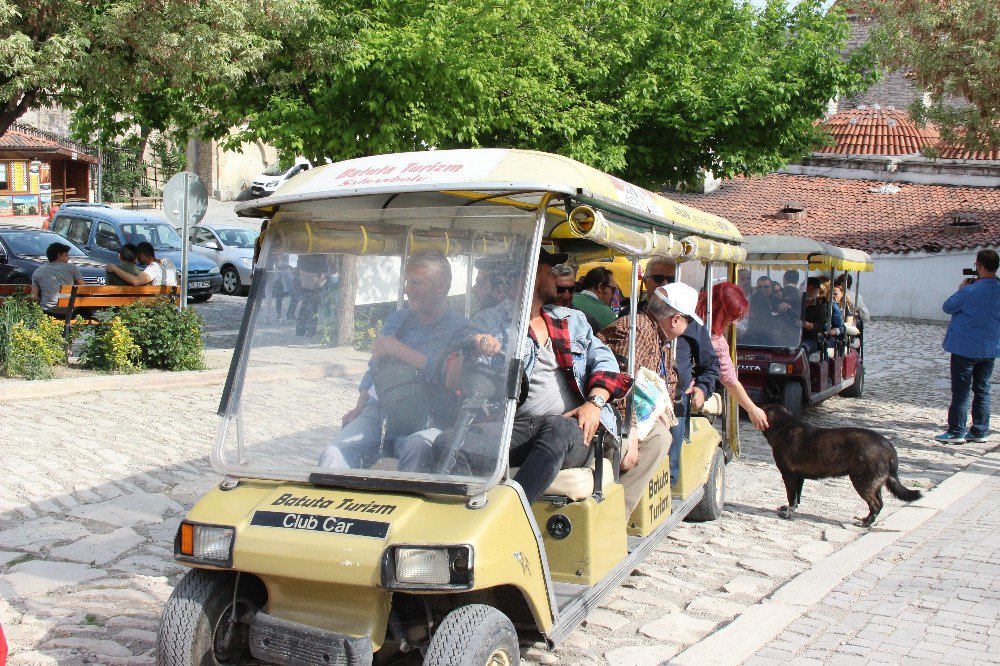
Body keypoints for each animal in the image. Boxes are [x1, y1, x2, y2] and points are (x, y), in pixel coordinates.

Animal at [764, 402, 920, 528]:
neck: (783, 426)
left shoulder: (788, 474)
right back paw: (867, 520)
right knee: (880, 504)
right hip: (873, 484)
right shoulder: (799, 477)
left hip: (862, 482)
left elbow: (791, 497)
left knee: (875, 505)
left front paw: (788, 514)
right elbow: (797, 498)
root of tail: (889, 448)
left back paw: (865, 523)